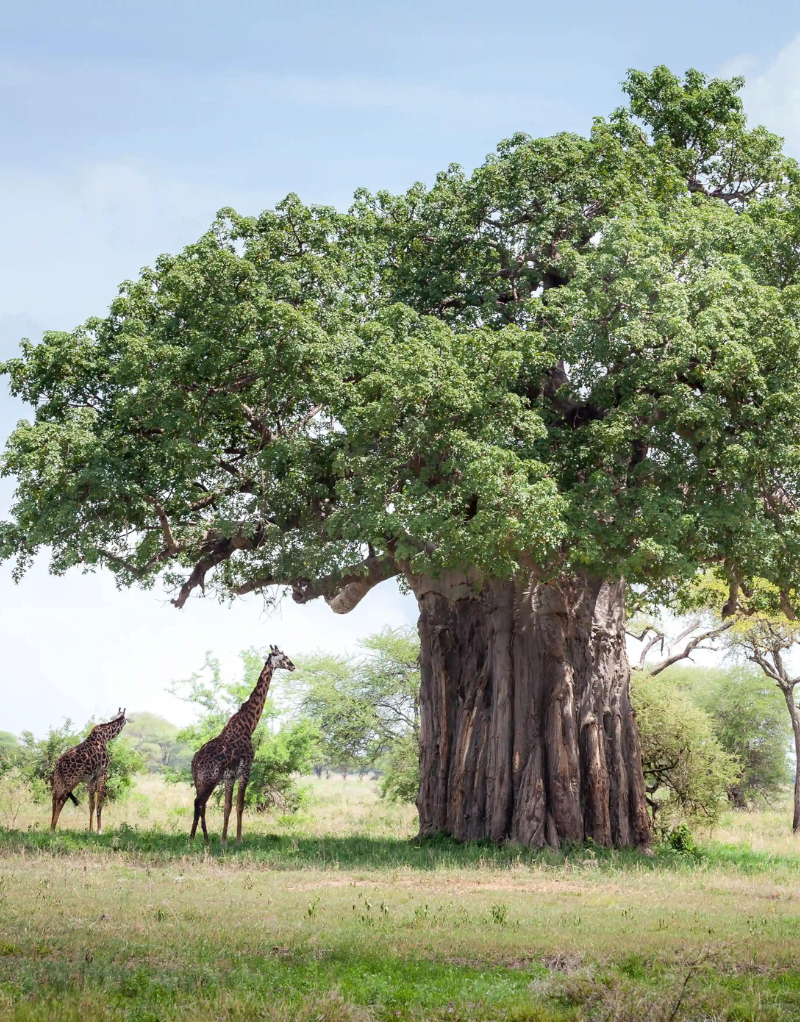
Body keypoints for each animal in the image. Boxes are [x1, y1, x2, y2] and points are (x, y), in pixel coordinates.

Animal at [189, 645, 296, 846]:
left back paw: (198, 838)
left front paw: (224, 840)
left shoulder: (230, 775)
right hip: (210, 778)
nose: (293, 666)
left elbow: (227, 806)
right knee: (199, 802)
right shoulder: (246, 767)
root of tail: (195, 762)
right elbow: (240, 805)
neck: (248, 725)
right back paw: (199, 838)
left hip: (199, 779)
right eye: (284, 656)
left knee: (199, 803)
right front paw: (239, 839)